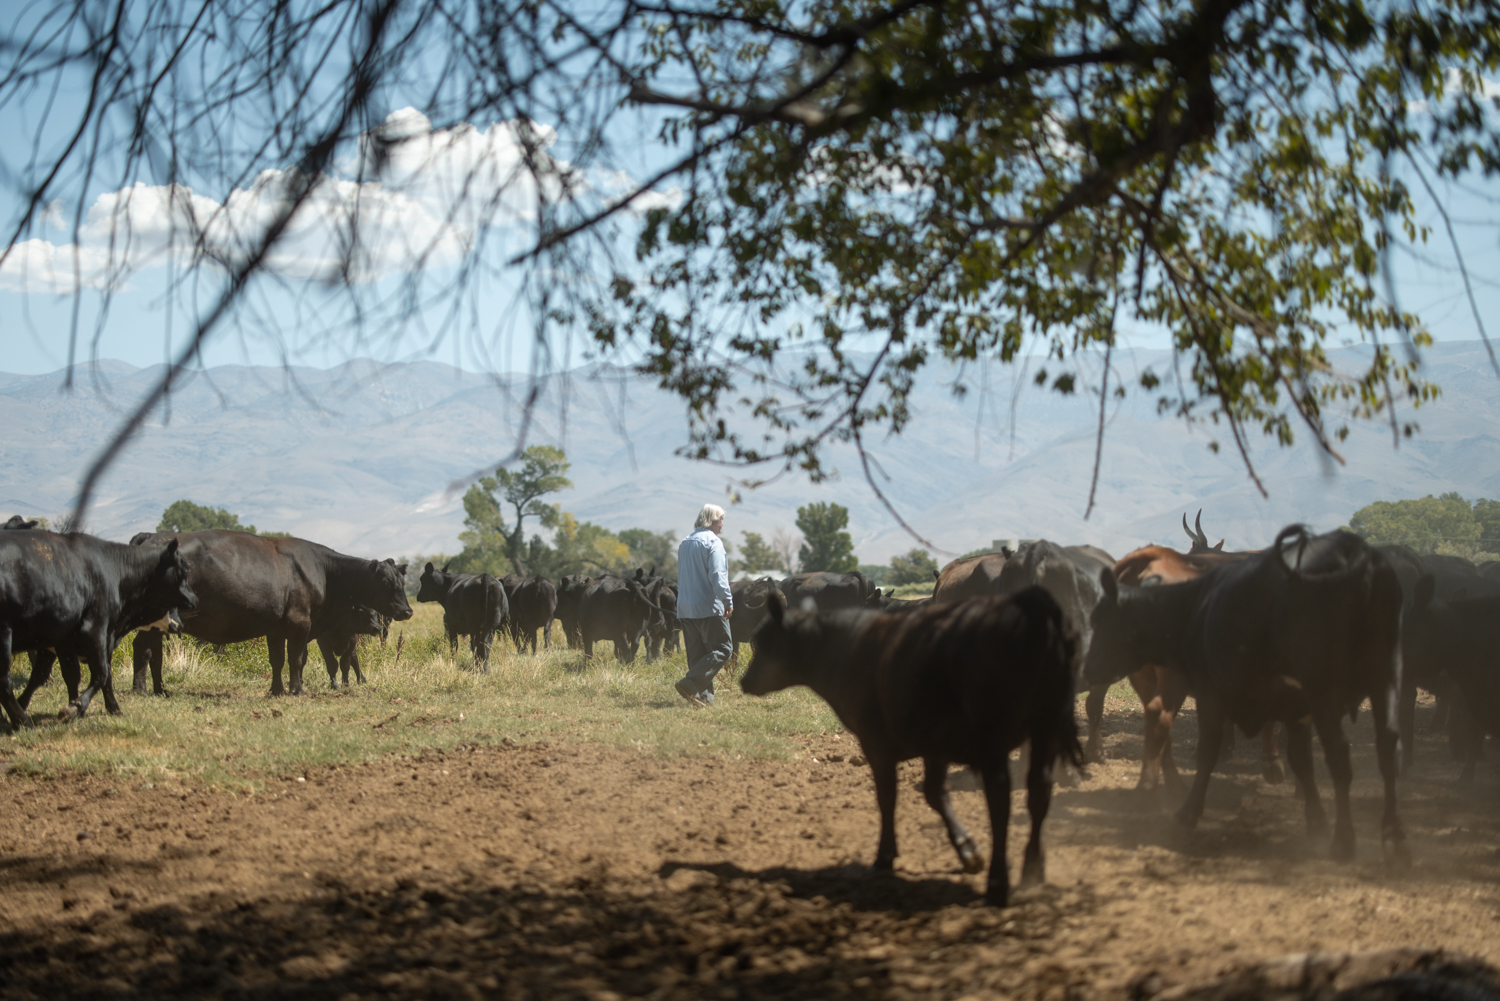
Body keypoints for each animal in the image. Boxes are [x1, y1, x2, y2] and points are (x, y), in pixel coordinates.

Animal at [0, 531, 196, 729]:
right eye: (183, 570)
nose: (194, 599)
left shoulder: (63, 644)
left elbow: (56, 675)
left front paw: (81, 707)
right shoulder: (96, 632)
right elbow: (102, 673)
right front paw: (79, 708)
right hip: (5, 634)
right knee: (4, 682)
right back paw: (24, 723)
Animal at [126, 531, 411, 696]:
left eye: (402, 581)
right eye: (386, 582)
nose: (407, 611)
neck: (324, 571)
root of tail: (152, 537)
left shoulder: (276, 629)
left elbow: (277, 660)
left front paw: (276, 690)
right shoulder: (299, 624)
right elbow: (296, 659)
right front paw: (297, 690)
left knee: (152, 652)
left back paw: (160, 689)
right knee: (144, 649)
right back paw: (141, 689)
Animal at [744, 588, 1086, 906]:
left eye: (762, 641)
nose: (744, 681)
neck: (845, 648)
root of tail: (1025, 603)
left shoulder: (876, 744)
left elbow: (887, 798)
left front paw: (884, 857)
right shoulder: (934, 745)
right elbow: (934, 793)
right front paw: (967, 851)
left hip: (993, 740)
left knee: (1000, 802)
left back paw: (998, 884)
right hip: (1045, 728)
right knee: (1039, 792)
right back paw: (1033, 869)